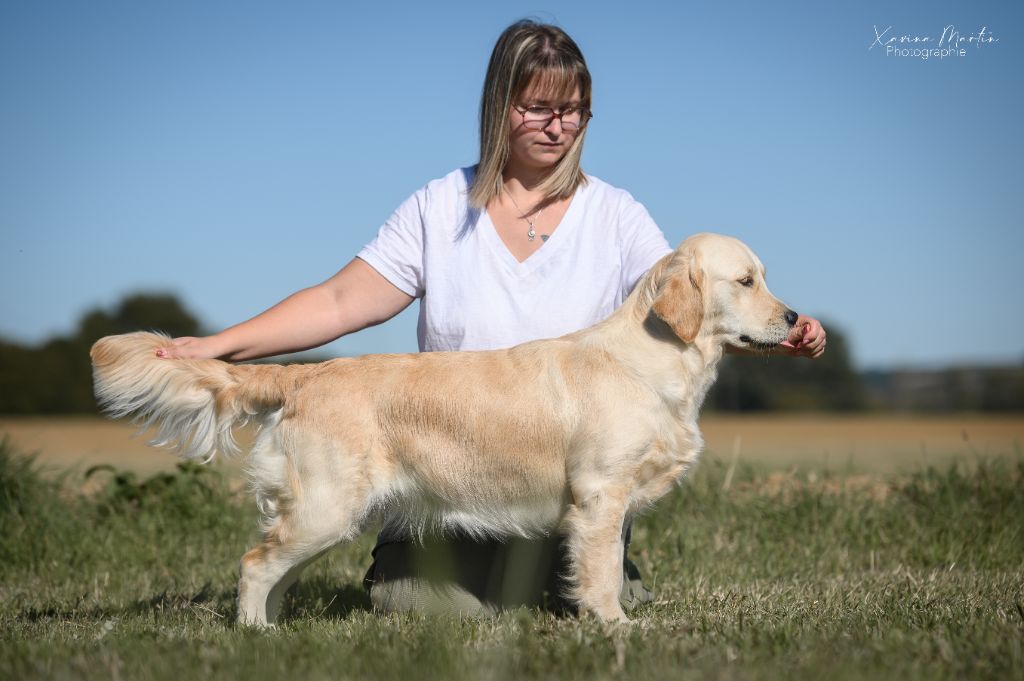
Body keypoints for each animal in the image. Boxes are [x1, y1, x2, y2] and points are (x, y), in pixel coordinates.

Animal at [92, 232, 794, 622]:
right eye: (746, 279)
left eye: (764, 276)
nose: (793, 319)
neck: (651, 360)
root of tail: (305, 377)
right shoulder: (598, 497)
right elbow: (599, 576)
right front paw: (616, 628)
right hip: (327, 505)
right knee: (254, 564)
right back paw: (253, 635)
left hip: (320, 513)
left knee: (275, 569)